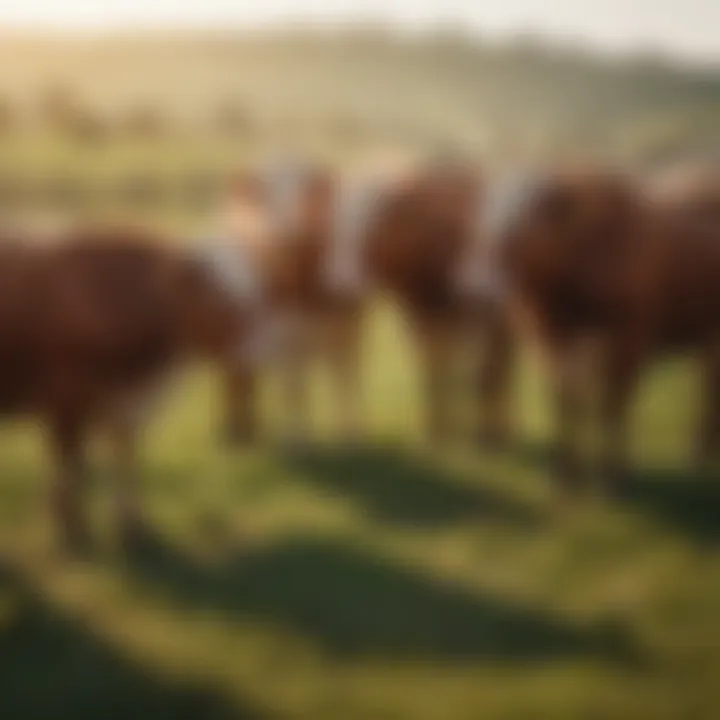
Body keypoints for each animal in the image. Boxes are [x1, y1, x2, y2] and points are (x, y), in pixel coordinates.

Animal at [0, 226, 274, 552]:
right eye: (220, 298)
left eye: (250, 296)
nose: (260, 348)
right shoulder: (68, 404)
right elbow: (70, 469)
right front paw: (72, 529)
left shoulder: (121, 407)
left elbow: (125, 458)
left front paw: (130, 523)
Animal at [462, 167, 720, 496]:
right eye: (483, 219)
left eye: (523, 224)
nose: (475, 283)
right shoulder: (556, 343)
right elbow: (568, 403)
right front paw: (564, 474)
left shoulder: (628, 341)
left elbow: (611, 408)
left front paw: (612, 475)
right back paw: (699, 455)